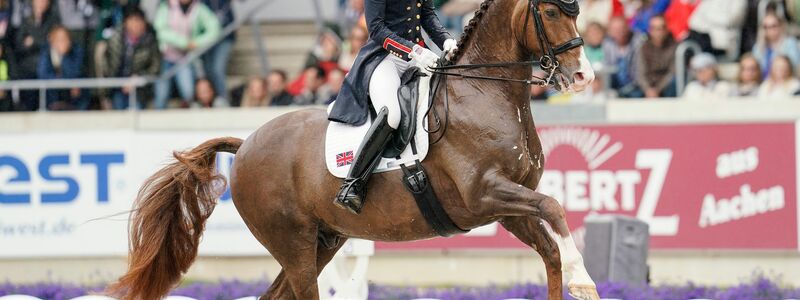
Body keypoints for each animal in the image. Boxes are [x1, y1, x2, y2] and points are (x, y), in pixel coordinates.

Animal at [109, 0, 600, 298]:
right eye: (551, 11)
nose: (583, 77)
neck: (482, 92)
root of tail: (246, 144)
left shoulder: (505, 206)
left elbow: (550, 248)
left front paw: (574, 279)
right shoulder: (485, 193)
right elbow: (555, 207)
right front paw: (586, 280)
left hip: (325, 240)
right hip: (294, 244)